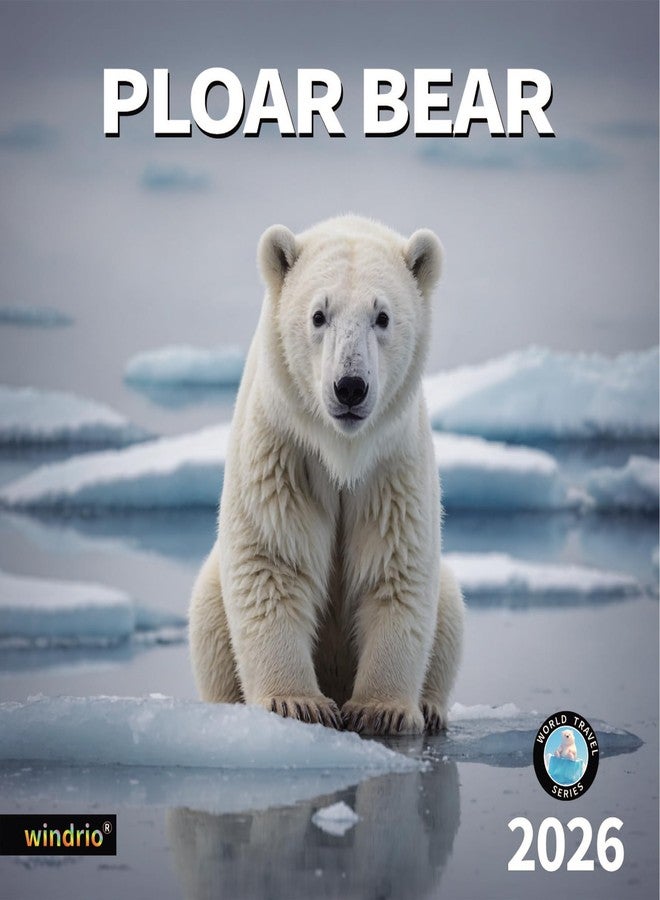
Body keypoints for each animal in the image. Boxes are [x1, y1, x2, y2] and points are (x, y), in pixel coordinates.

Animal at [189, 215, 464, 735]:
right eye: (319, 315)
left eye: (382, 316)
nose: (350, 386)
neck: (341, 451)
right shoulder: (280, 449)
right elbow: (271, 561)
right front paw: (295, 702)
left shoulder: (392, 463)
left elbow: (395, 568)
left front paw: (382, 710)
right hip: (211, 598)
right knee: (211, 616)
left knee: (449, 610)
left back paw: (432, 708)